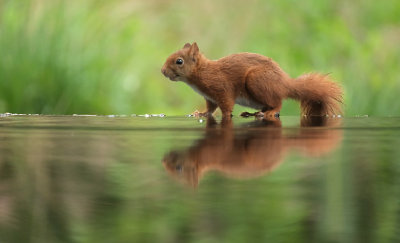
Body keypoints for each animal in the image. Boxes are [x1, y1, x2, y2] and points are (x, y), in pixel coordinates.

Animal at [161, 42, 342, 118]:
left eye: (179, 61)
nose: (162, 71)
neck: (202, 72)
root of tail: (285, 83)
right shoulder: (209, 97)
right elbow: (210, 108)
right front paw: (202, 113)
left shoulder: (222, 88)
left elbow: (226, 105)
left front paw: (225, 115)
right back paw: (253, 113)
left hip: (257, 81)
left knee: (278, 103)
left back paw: (269, 112)